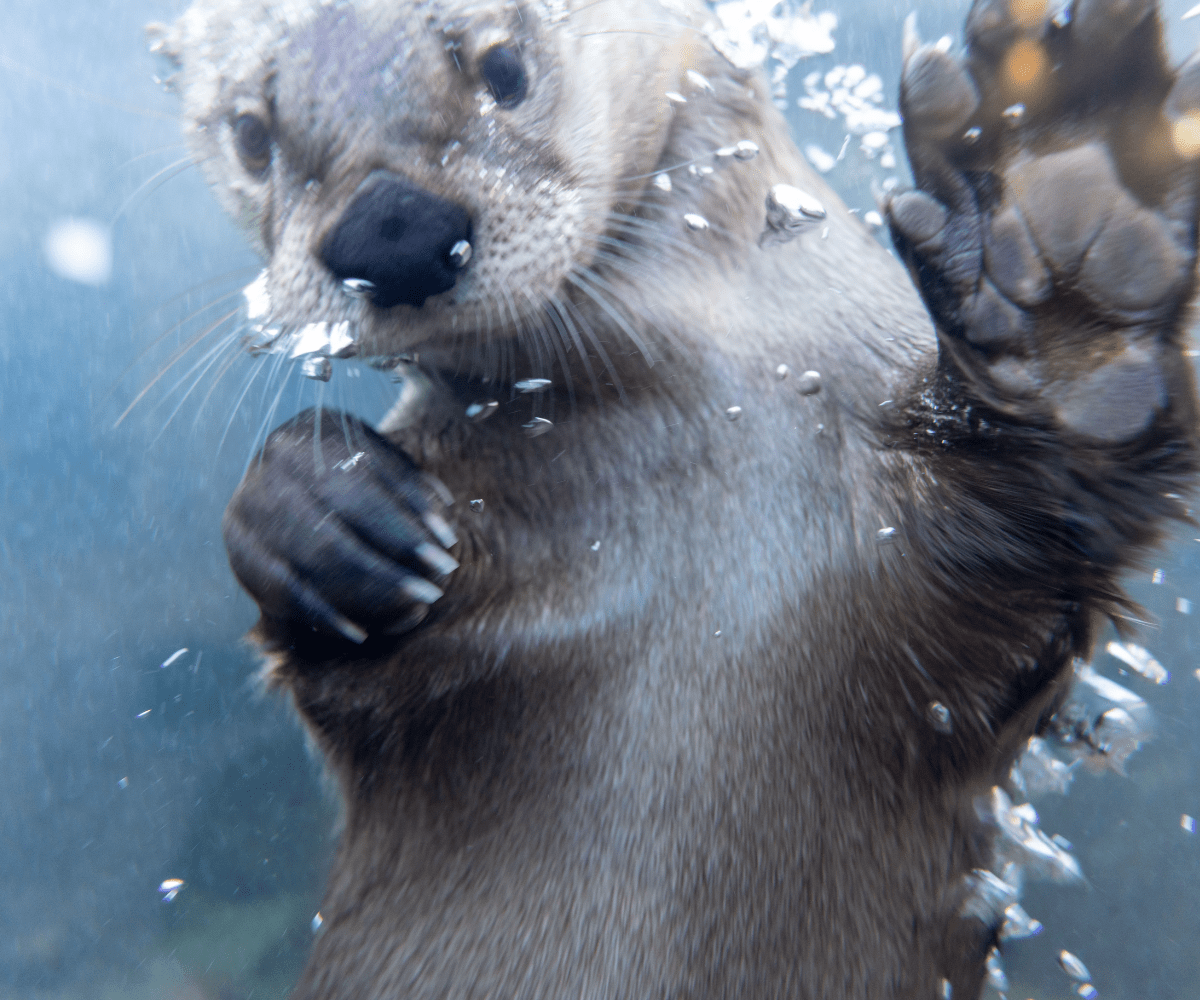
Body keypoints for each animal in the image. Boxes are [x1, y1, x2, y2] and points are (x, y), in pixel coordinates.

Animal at [152, 0, 1200, 993]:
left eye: (503, 64)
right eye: (251, 132)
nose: (392, 229)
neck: (725, 413)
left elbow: (1046, 498)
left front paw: (1064, 204)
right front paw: (324, 512)